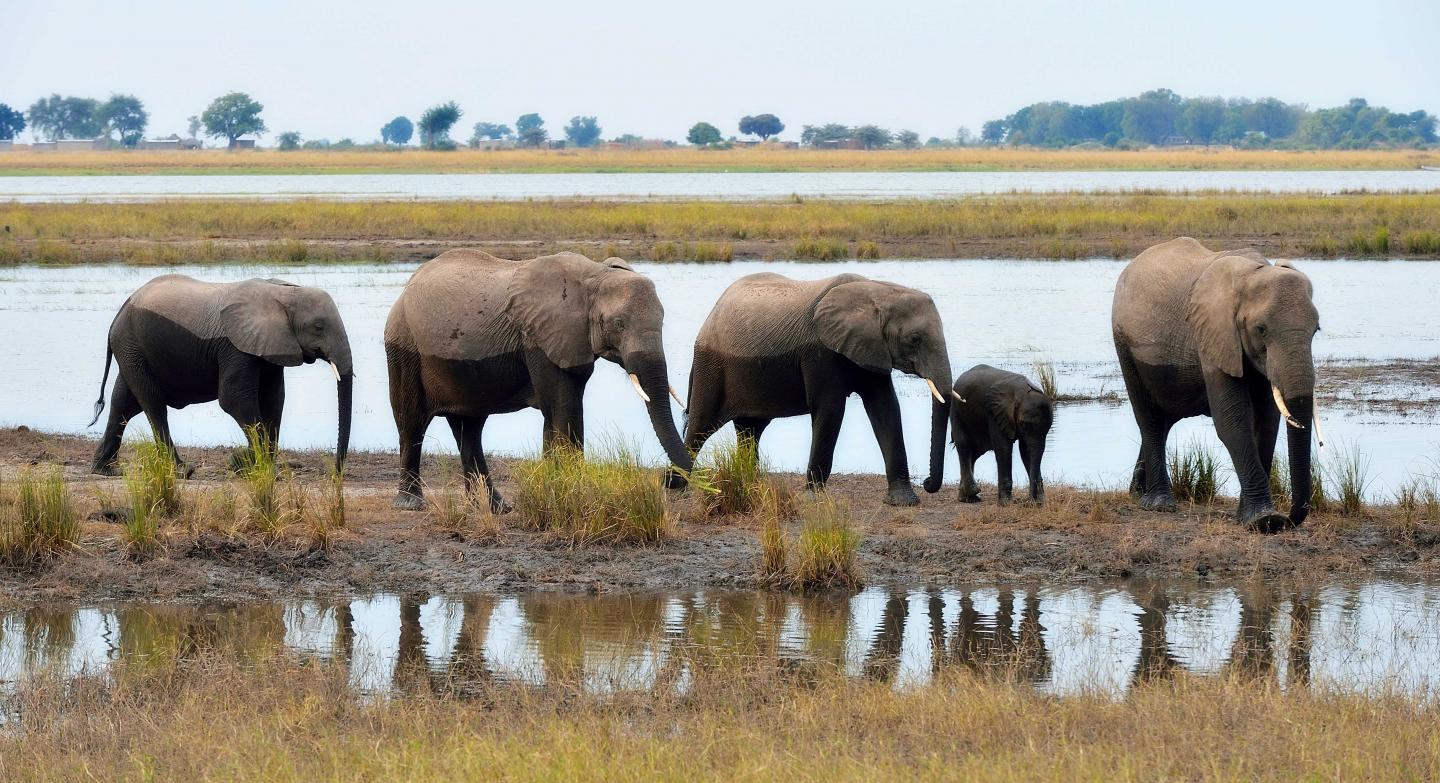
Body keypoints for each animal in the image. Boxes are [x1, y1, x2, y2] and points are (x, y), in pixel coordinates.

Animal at [88, 275, 353, 476]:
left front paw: (254, 465)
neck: (282, 292)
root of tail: (120, 311)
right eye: (318, 327)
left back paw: (105, 470)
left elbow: (273, 399)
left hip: (133, 349)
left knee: (123, 402)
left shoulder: (270, 346)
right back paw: (183, 471)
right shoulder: (235, 347)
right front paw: (243, 463)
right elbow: (234, 399)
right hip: (132, 344)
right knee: (152, 403)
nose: (335, 473)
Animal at [384, 249, 691, 512]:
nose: (667, 478)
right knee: (411, 421)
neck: (594, 275)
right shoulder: (538, 339)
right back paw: (411, 504)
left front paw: (557, 488)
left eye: (662, 321)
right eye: (618, 324)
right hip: (403, 345)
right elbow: (563, 407)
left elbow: (556, 411)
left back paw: (494, 508)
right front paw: (573, 494)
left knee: (469, 428)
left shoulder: (569, 340)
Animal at [676, 272, 952, 506]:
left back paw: (749, 484)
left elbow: (886, 409)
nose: (928, 482)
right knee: (701, 426)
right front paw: (811, 498)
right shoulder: (820, 353)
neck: (878, 290)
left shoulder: (871, 348)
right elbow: (831, 410)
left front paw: (903, 501)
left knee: (750, 430)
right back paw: (677, 486)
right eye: (914, 339)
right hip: (711, 366)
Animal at [949, 364, 1053, 505]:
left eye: (1049, 428)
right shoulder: (994, 413)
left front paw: (1040, 503)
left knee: (974, 453)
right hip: (956, 409)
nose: (1028, 502)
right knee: (964, 446)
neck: (1020, 392)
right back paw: (970, 496)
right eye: (1023, 425)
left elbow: (1026, 451)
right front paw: (1006, 504)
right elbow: (1003, 448)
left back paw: (969, 498)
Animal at [1112, 237, 1320, 532]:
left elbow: (1267, 421)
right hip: (1124, 342)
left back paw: (1137, 494)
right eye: (1261, 330)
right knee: (1149, 419)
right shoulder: (1215, 333)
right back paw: (1159, 504)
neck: (1253, 273)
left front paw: (1249, 518)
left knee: (1164, 420)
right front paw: (1263, 520)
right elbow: (1233, 421)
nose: (1287, 520)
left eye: (1316, 330)